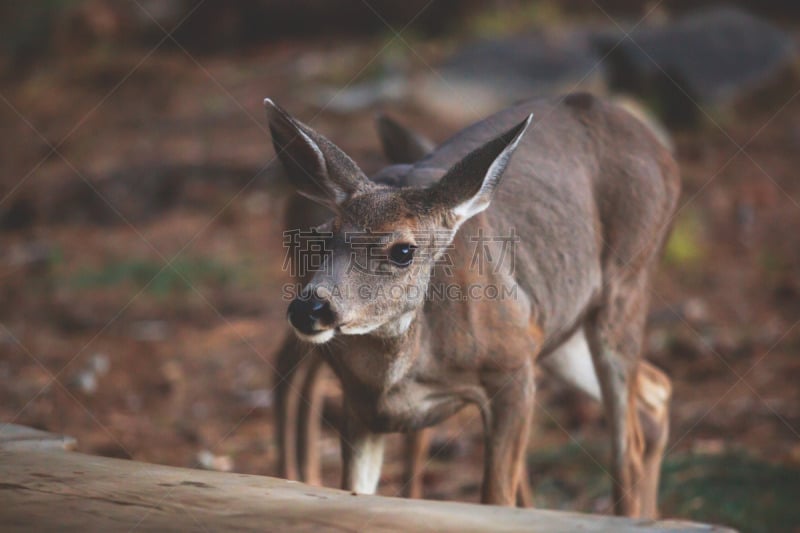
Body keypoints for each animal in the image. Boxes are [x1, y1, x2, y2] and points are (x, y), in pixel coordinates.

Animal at [266, 91, 680, 516]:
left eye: (403, 250)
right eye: (321, 237)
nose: (310, 309)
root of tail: (662, 154)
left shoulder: (513, 368)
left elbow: (496, 499)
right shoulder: (359, 404)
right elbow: (354, 492)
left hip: (626, 282)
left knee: (628, 447)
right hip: (556, 328)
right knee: (656, 392)